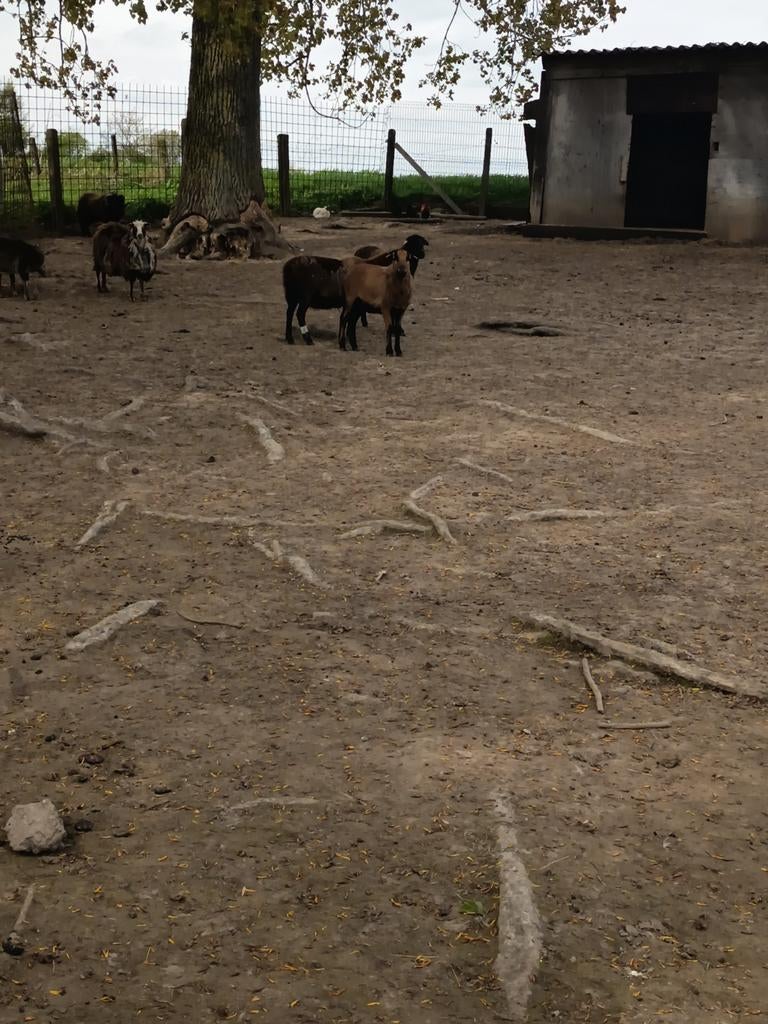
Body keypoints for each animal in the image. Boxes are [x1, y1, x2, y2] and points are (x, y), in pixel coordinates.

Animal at [282, 234, 427, 346]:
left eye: (421, 244)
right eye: (417, 245)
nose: (423, 254)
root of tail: (288, 267)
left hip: (291, 296)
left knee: (289, 313)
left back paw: (289, 338)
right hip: (304, 296)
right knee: (299, 314)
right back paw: (308, 339)